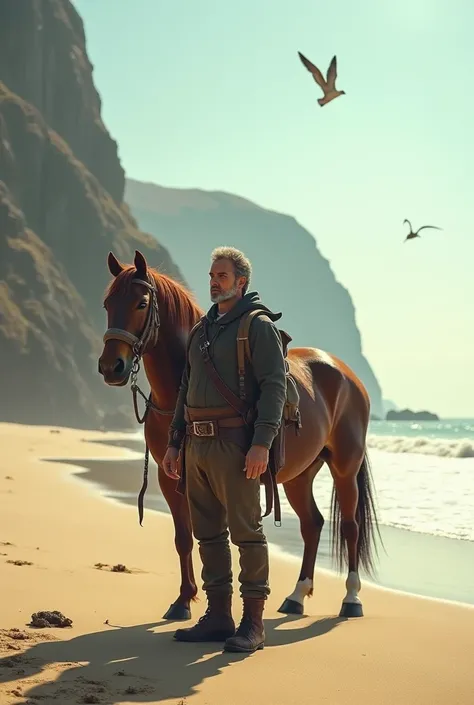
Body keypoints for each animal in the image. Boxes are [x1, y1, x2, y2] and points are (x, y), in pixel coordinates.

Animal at [99, 250, 382, 620]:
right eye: (107, 304)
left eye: (141, 303)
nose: (110, 367)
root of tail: (347, 375)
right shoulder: (169, 476)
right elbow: (184, 538)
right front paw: (183, 600)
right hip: (299, 475)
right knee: (312, 524)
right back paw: (296, 595)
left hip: (345, 468)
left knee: (350, 526)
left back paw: (351, 598)